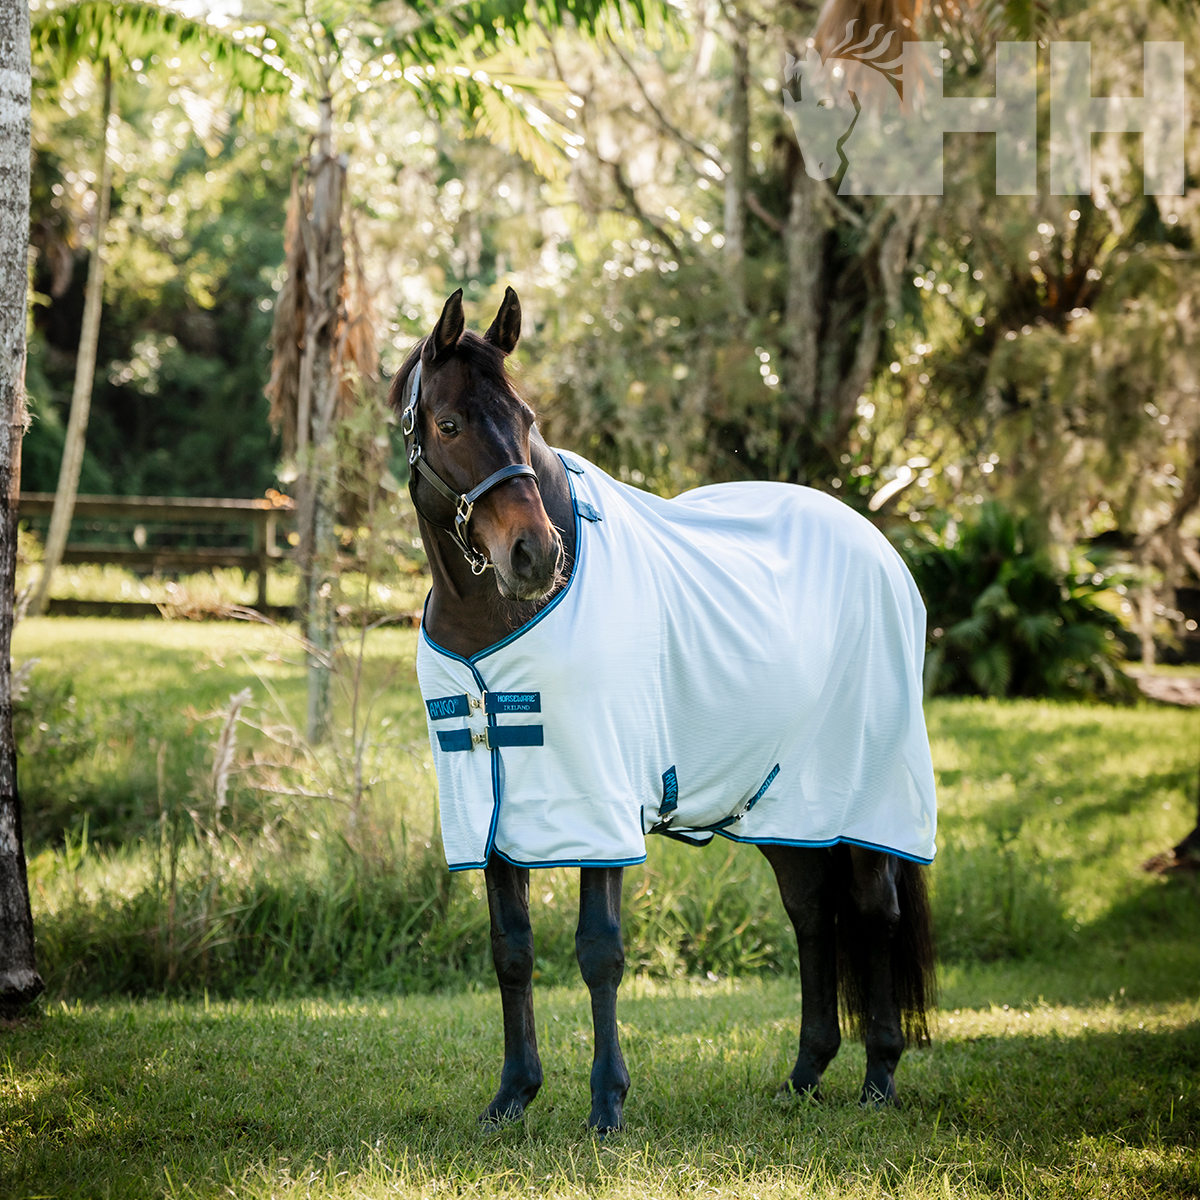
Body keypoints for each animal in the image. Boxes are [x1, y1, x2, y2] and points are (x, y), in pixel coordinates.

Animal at [390, 287, 937, 1134]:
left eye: (526, 416)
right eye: (448, 424)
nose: (533, 556)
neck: (492, 626)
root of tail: (875, 542)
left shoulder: (599, 802)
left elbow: (599, 951)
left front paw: (606, 1105)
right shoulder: (489, 813)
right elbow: (511, 950)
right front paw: (512, 1096)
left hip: (864, 799)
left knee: (875, 913)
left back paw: (879, 1076)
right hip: (788, 809)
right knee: (813, 913)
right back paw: (805, 1075)